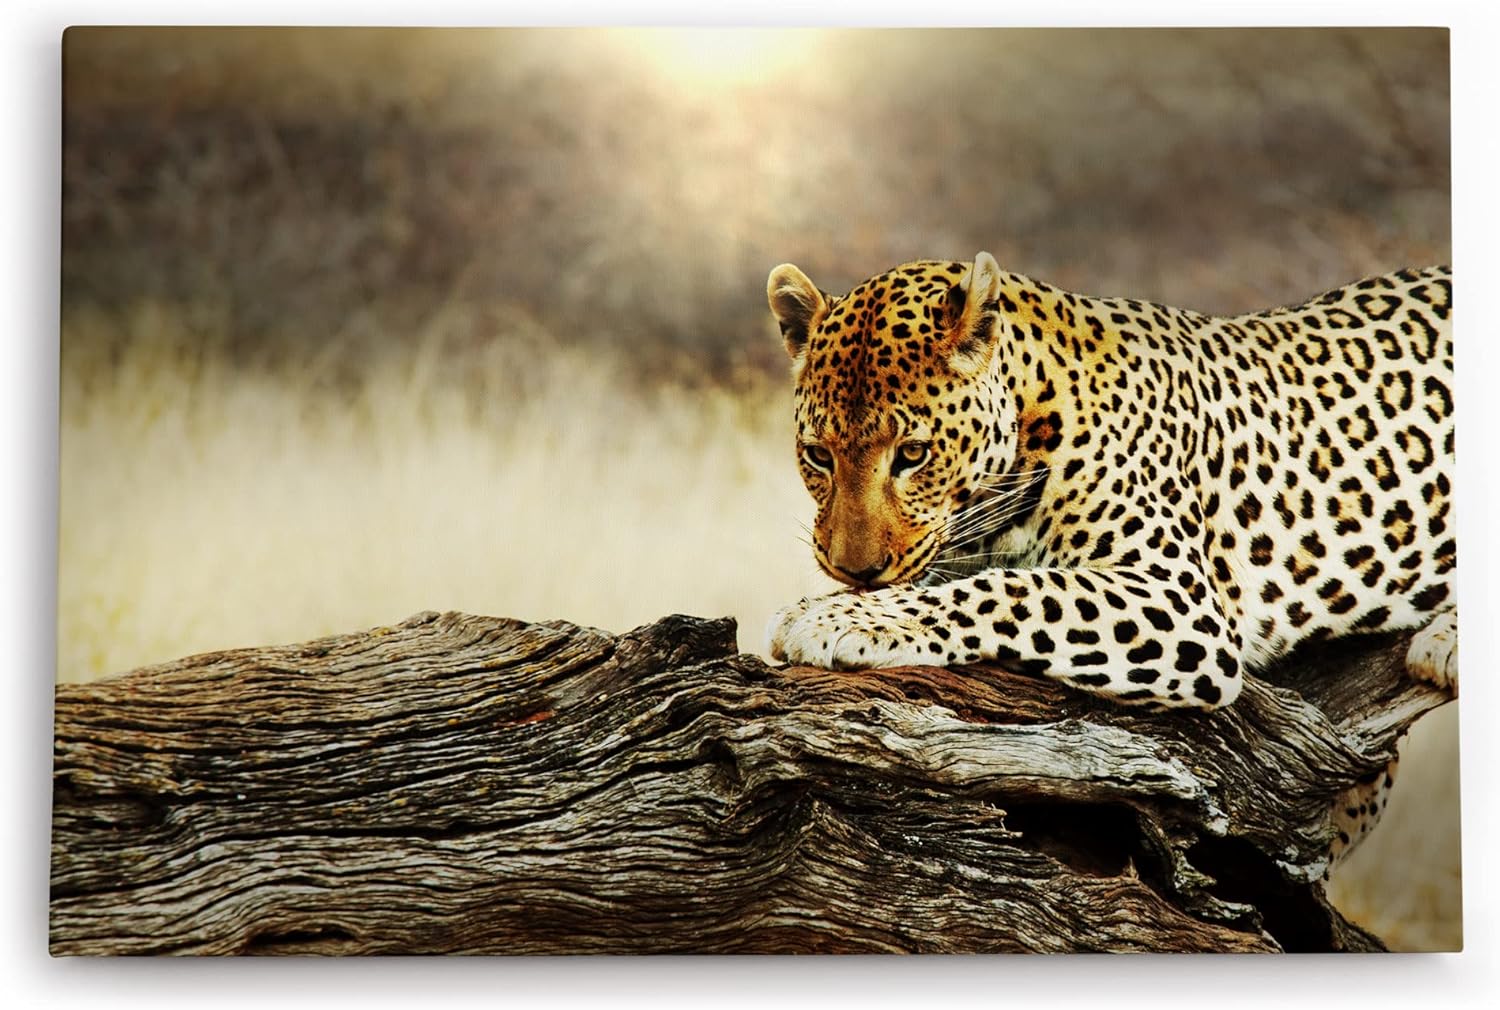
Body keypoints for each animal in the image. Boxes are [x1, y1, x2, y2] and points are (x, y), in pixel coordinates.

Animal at [764, 253, 1455, 861]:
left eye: (912, 454)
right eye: (818, 455)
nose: (853, 571)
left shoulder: (1177, 595)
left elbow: (1011, 590)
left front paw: (829, 618)